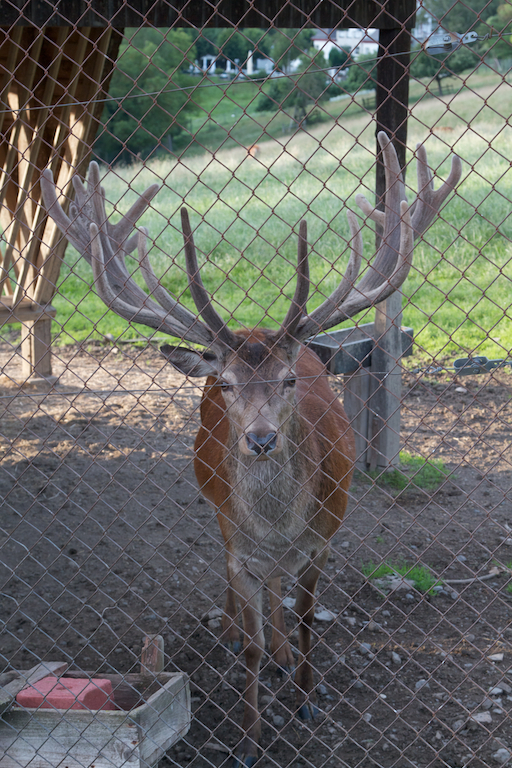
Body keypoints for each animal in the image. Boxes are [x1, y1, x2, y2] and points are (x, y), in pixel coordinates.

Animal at [41, 133, 461, 767]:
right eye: (227, 384)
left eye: (288, 381)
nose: (260, 440)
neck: (279, 525)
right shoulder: (239, 542)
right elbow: (252, 648)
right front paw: (248, 733)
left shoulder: (323, 536)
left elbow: (308, 617)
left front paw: (306, 698)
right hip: (216, 508)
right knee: (244, 584)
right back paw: (240, 628)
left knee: (279, 590)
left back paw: (286, 653)